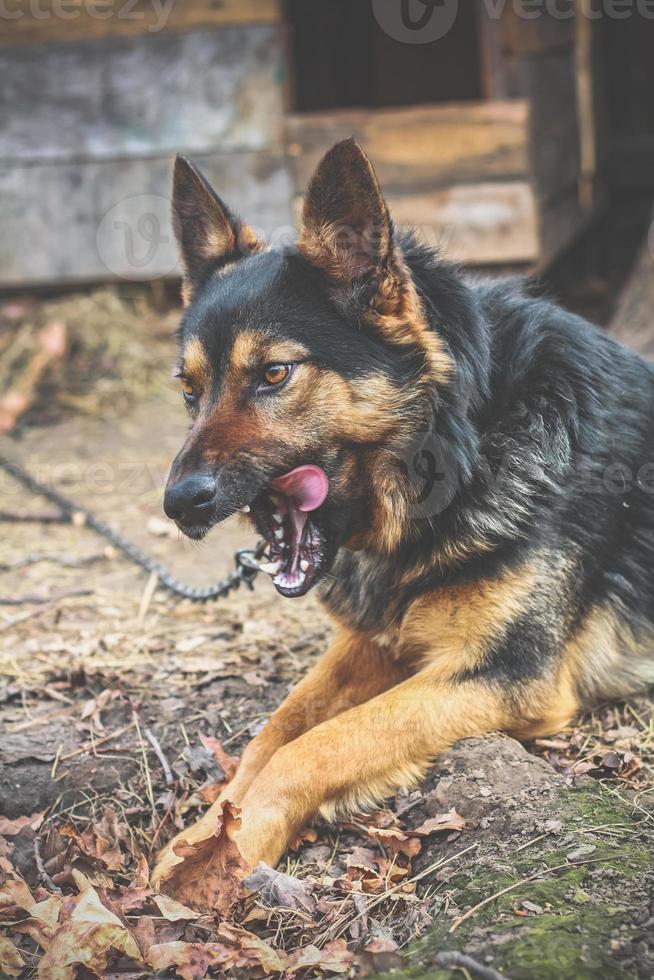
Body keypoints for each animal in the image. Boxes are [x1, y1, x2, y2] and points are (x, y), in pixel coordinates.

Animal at [152, 142, 654, 900]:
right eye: (189, 390)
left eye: (274, 374)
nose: (180, 504)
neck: (467, 445)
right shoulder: (377, 642)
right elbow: (274, 731)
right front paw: (199, 837)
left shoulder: (504, 676)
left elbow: (316, 746)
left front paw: (243, 841)